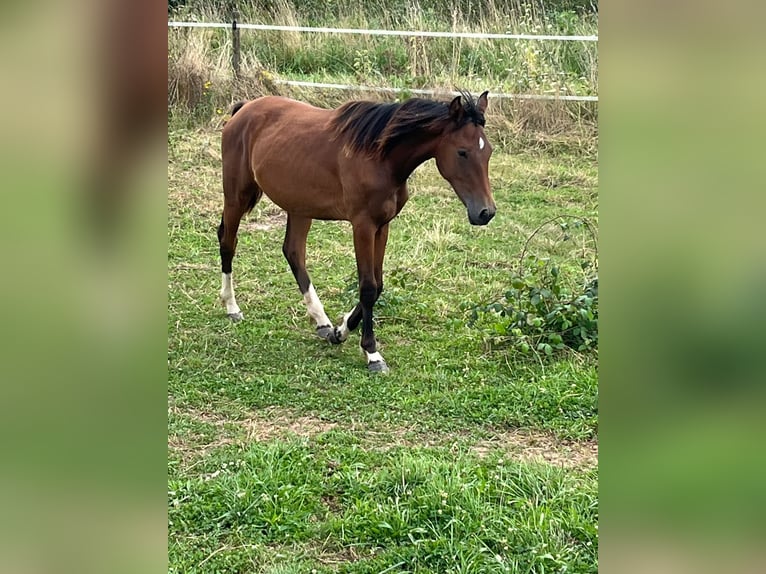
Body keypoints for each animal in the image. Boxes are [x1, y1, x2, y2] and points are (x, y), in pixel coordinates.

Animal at [219, 91, 496, 374]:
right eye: (462, 152)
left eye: (488, 151)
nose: (485, 212)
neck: (380, 157)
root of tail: (244, 109)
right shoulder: (363, 226)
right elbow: (368, 287)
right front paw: (372, 353)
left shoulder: (383, 226)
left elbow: (379, 283)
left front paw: (340, 332)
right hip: (236, 196)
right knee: (228, 242)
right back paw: (231, 306)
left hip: (299, 206)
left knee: (293, 252)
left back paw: (322, 322)